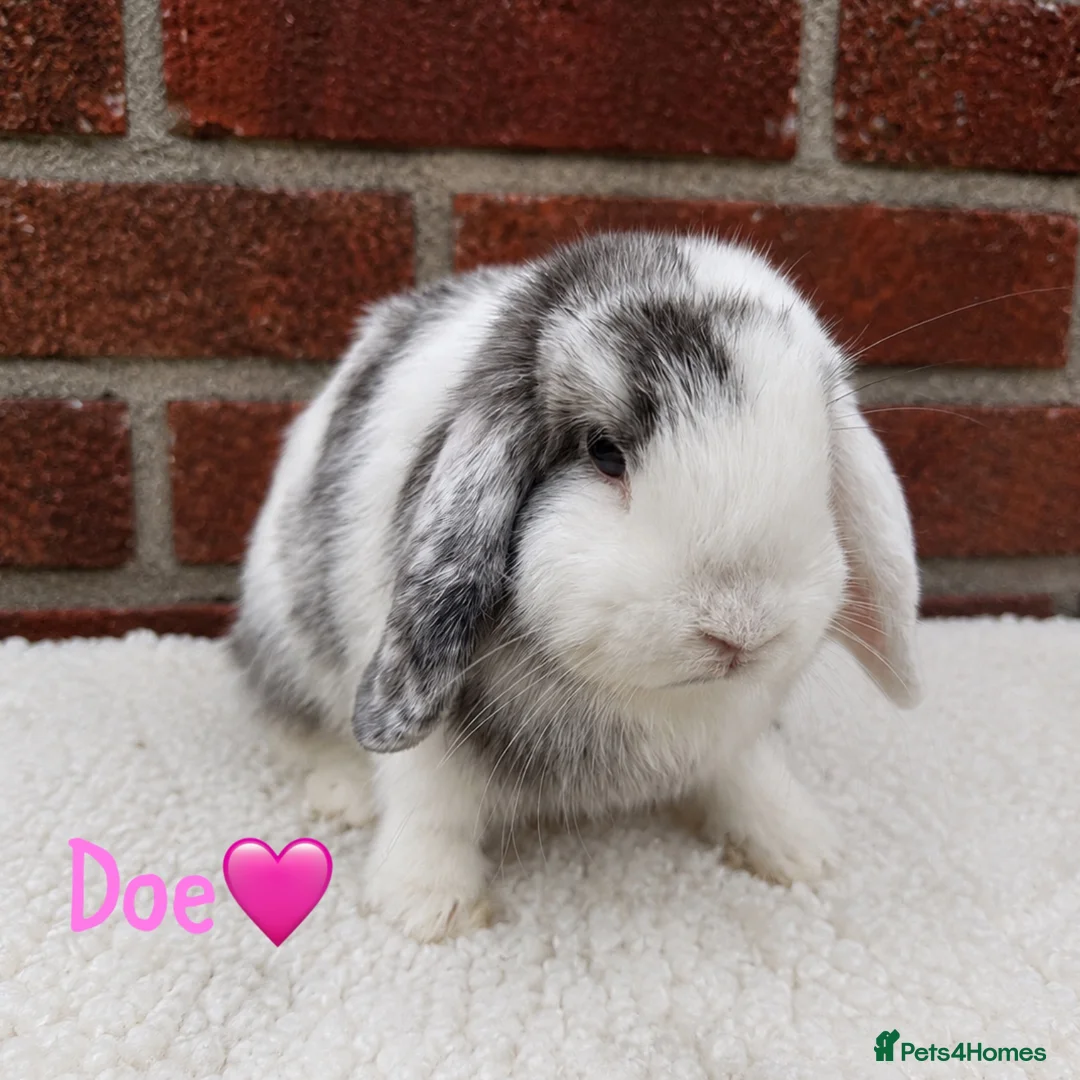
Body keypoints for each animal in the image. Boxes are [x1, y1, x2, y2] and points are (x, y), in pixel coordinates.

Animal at [230, 230, 922, 942]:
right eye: (604, 451)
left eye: (821, 457)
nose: (740, 631)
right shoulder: (424, 730)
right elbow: (429, 805)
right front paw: (430, 907)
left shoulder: (741, 731)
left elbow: (750, 775)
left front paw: (801, 849)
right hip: (284, 637)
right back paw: (341, 794)